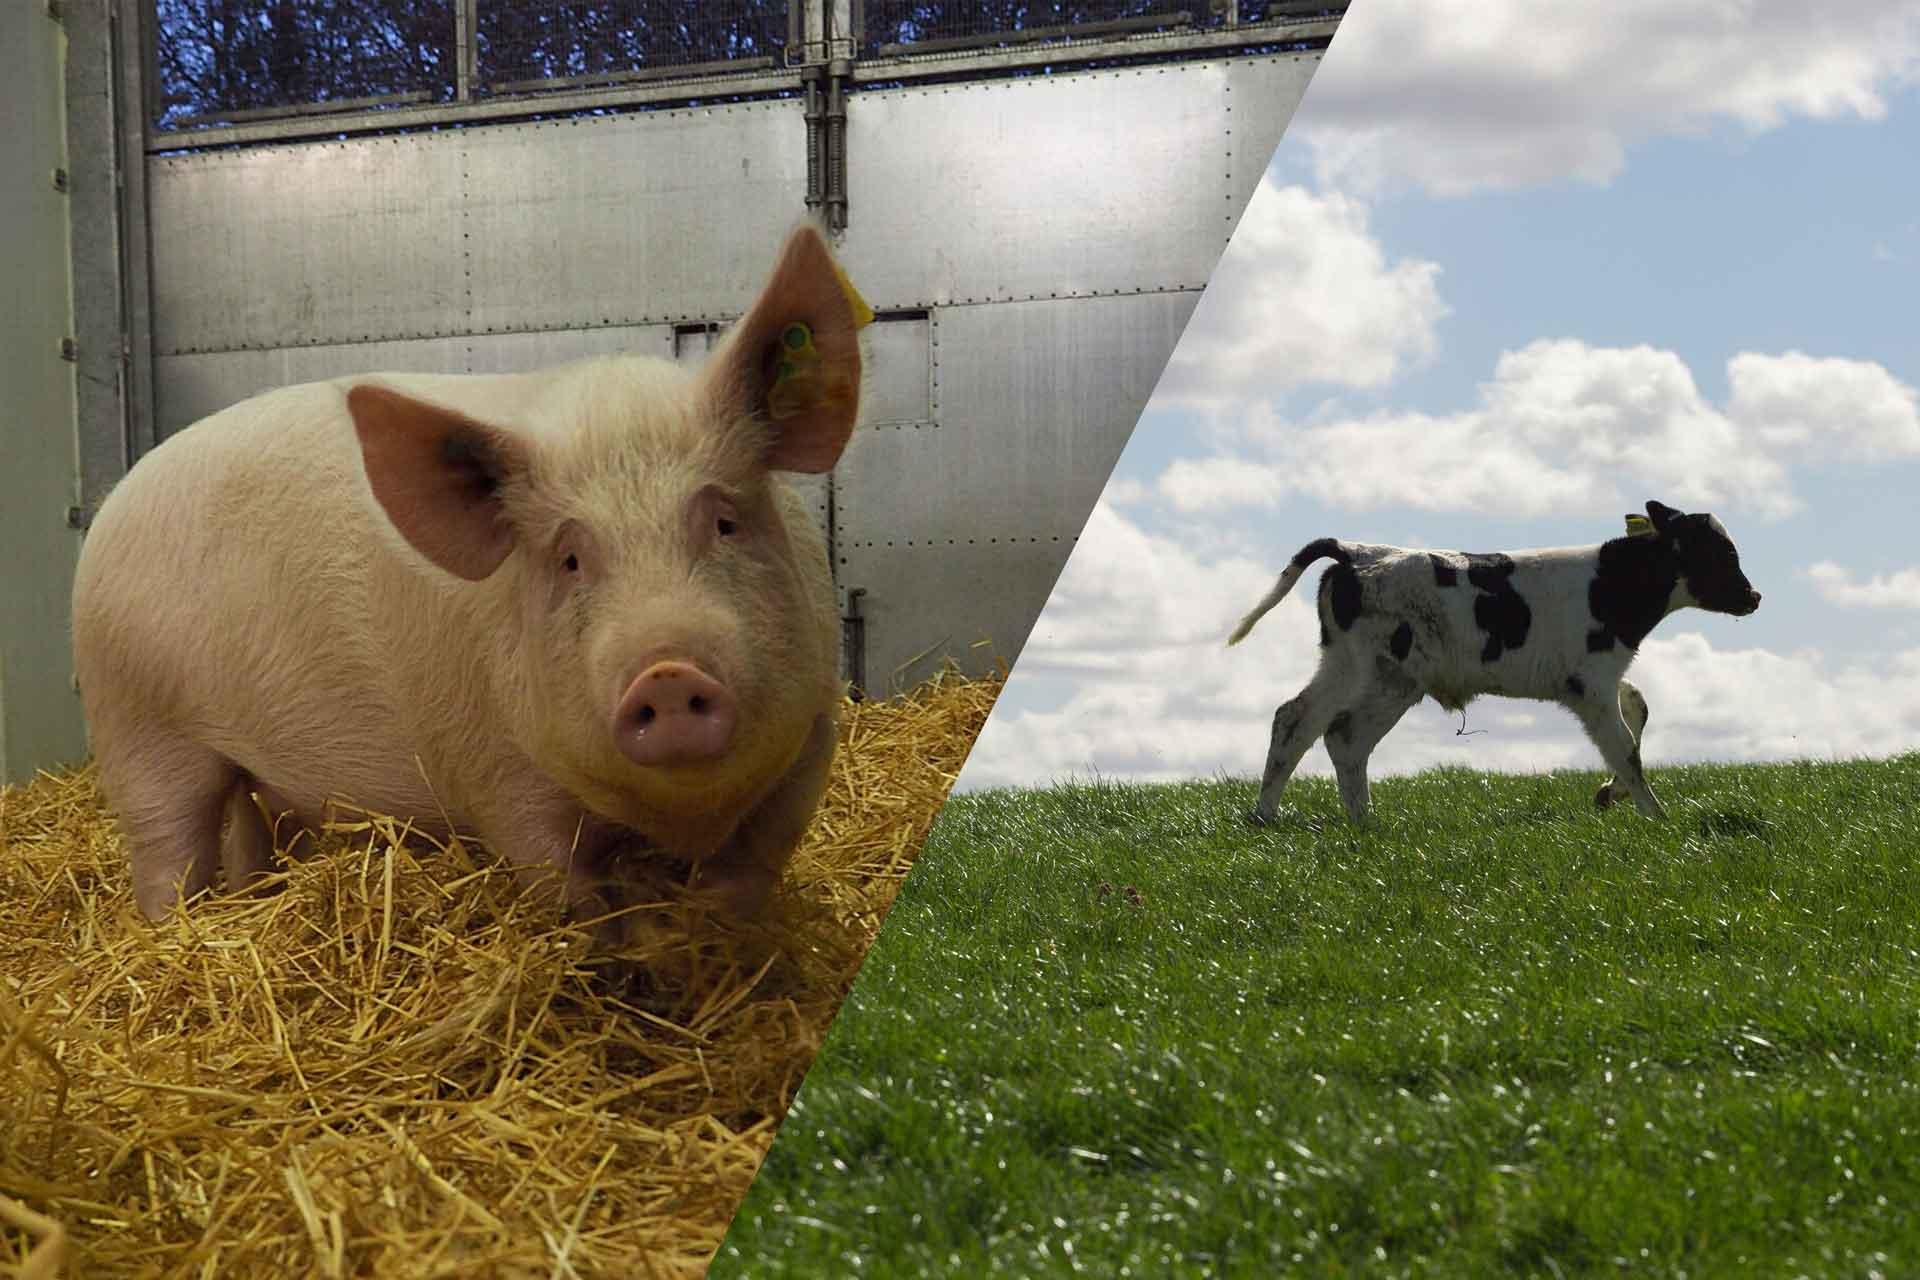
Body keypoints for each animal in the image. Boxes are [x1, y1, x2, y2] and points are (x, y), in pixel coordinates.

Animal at [65, 225, 864, 936]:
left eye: (725, 521)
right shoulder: (498, 770)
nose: (667, 672)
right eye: (569, 558)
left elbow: (757, 863)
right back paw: (178, 931)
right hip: (137, 727)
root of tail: (109, 508)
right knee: (168, 854)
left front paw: (717, 936)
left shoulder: (814, 732)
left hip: (235, 767)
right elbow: (563, 883)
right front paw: (624, 949)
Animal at [1228, 498, 1758, 821]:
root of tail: (1356, 551)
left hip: (1357, 669)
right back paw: (1309, 818)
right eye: (1719, 553)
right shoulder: (1590, 683)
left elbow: (1639, 707)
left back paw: (1325, 820)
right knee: (1327, 730)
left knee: (1312, 726)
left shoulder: (1600, 678)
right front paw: (1656, 818)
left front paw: (1612, 795)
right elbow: (1624, 748)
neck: (1609, 585)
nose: (1754, 596)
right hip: (1375, 675)